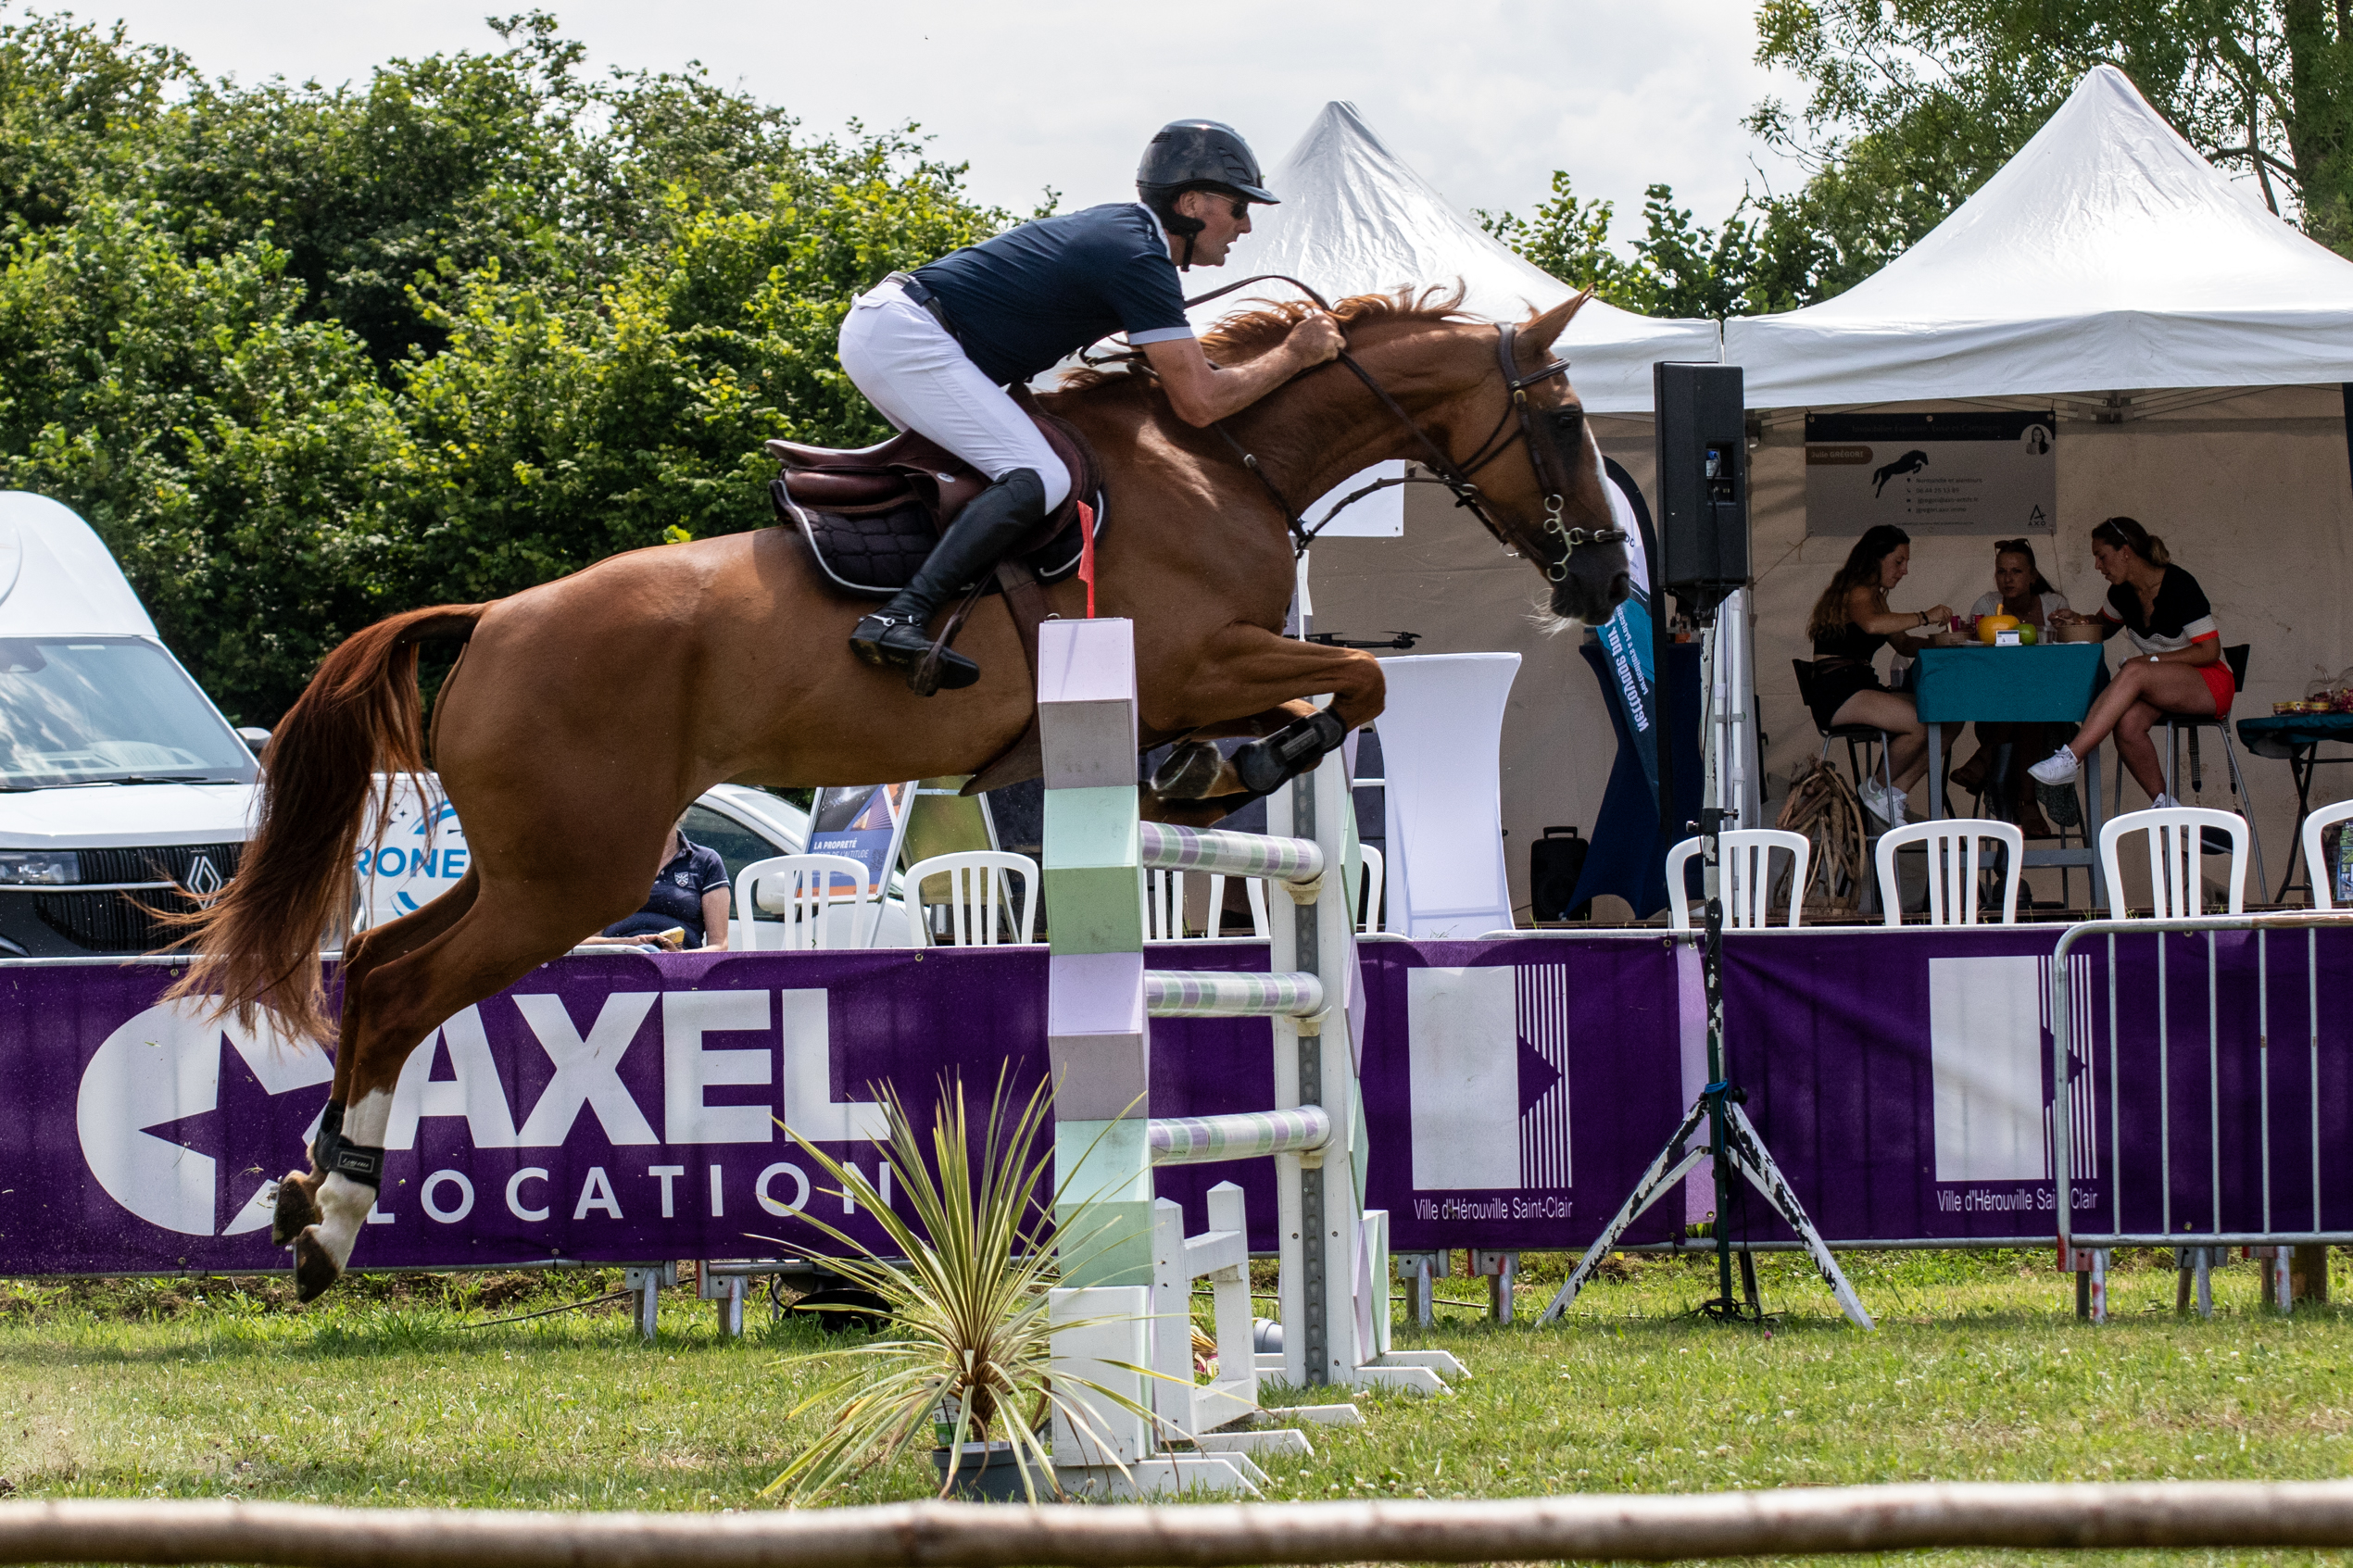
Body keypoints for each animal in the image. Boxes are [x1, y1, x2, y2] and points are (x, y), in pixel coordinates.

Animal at [168, 284, 1630, 1300]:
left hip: (533, 861)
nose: (1606, 580)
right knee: (409, 982)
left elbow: (1328, 697)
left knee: (378, 962)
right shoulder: (1195, 656)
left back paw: (314, 1208)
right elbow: (1358, 683)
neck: (1226, 464)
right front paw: (1247, 766)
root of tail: (492, 621)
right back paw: (332, 1220)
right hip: (576, 871)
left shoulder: (1204, 675)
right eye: (1565, 422)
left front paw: (1214, 769)